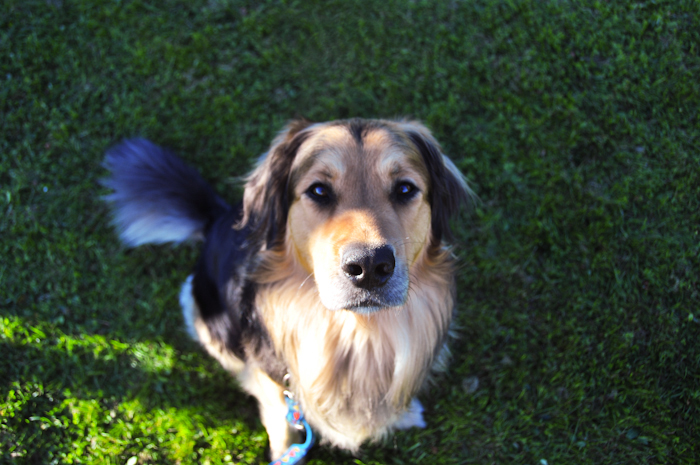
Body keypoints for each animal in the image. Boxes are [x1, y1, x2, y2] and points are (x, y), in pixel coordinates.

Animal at [103, 118, 472, 459]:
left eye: (405, 189)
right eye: (319, 191)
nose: (369, 267)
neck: (356, 335)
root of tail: (215, 218)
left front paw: (405, 413)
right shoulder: (275, 383)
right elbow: (281, 421)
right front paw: (284, 453)